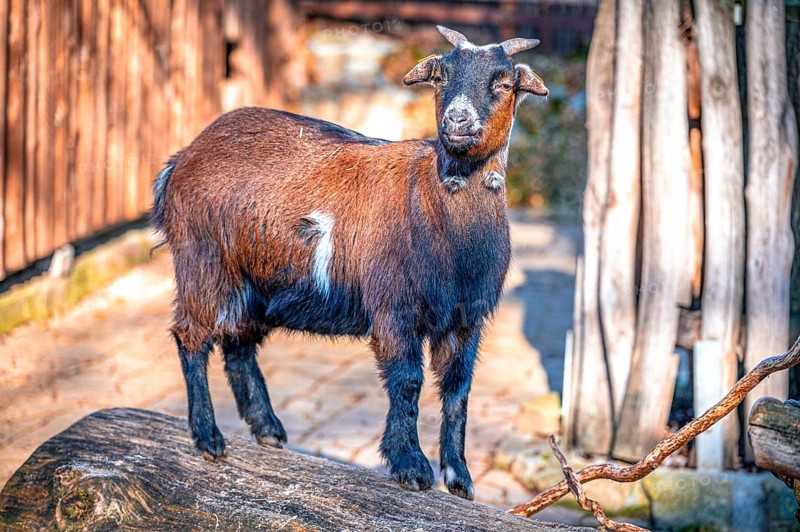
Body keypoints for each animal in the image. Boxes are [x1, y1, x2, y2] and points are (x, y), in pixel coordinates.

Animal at [152, 25, 547, 499]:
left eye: (505, 83)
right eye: (441, 77)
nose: (457, 121)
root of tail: (182, 158)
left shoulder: (466, 318)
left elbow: (457, 391)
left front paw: (459, 478)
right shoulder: (395, 308)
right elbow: (407, 382)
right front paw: (410, 467)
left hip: (254, 281)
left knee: (238, 345)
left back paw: (268, 430)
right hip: (202, 262)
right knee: (191, 338)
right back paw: (209, 438)